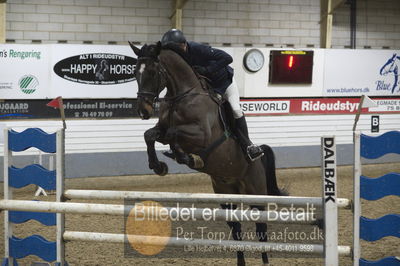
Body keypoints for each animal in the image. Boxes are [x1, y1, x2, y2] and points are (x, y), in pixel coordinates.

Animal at [129, 40, 284, 264]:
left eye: (152, 72)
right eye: (135, 72)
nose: (143, 111)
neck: (182, 95)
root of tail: (259, 159)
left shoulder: (201, 135)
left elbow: (174, 134)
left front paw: (185, 157)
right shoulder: (162, 130)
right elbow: (150, 135)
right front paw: (159, 166)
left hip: (256, 194)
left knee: (261, 226)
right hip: (226, 193)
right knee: (236, 227)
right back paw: (241, 261)